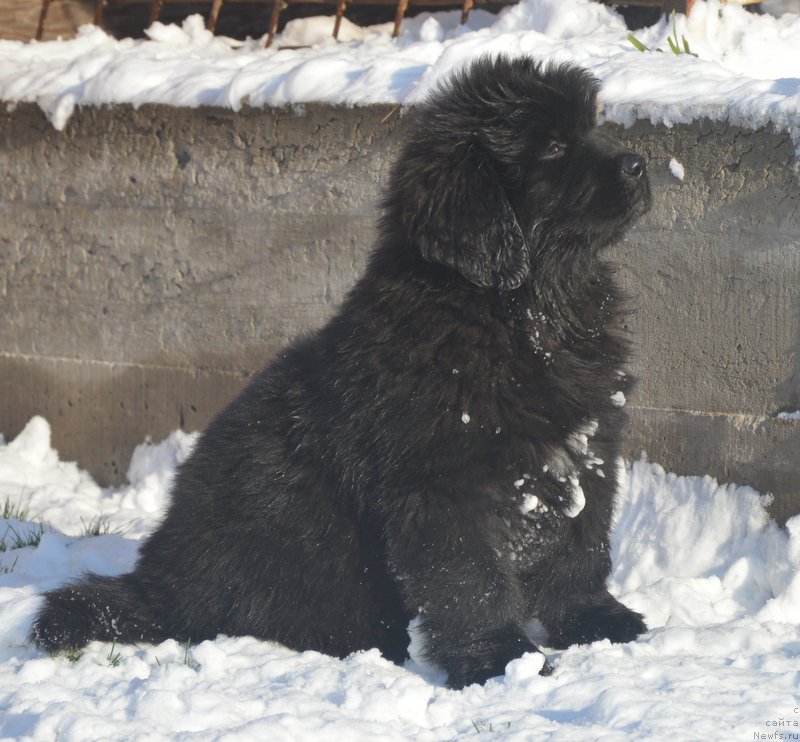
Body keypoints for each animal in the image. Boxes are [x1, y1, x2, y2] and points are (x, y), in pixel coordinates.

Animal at [34, 58, 652, 692]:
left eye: (591, 127)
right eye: (552, 146)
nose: (640, 164)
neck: (523, 311)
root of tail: (157, 582)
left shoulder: (588, 448)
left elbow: (581, 547)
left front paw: (596, 622)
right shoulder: (440, 484)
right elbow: (472, 581)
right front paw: (501, 661)